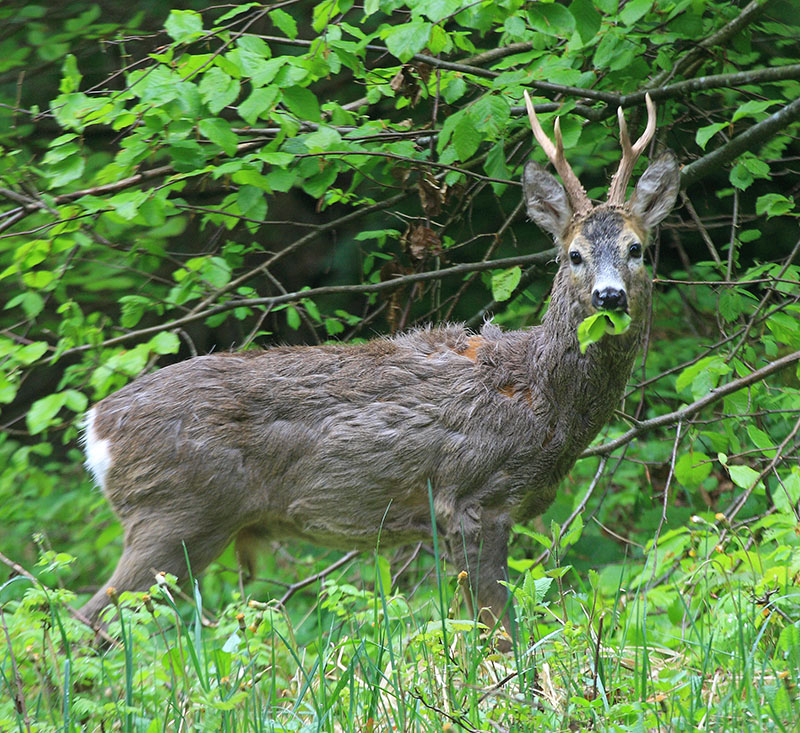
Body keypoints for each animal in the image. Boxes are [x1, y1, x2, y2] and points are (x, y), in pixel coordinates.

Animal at [81, 93, 680, 640]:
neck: (539, 395)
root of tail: (97, 426)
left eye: (637, 248)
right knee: (89, 624)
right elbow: (499, 633)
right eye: (574, 254)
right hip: (175, 515)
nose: (609, 297)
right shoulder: (473, 499)